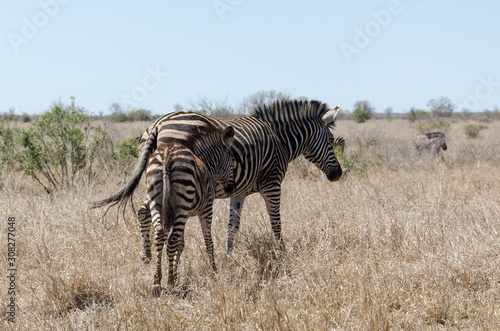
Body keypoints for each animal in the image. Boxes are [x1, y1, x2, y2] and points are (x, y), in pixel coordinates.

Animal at [93, 124, 235, 296]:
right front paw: (214, 272)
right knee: (171, 238)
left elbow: (180, 244)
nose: (231, 188)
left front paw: (176, 271)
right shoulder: (206, 209)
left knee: (159, 234)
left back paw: (157, 281)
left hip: (157, 200)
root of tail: (167, 154)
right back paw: (169, 281)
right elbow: (207, 242)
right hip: (181, 203)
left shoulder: (183, 215)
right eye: (232, 160)